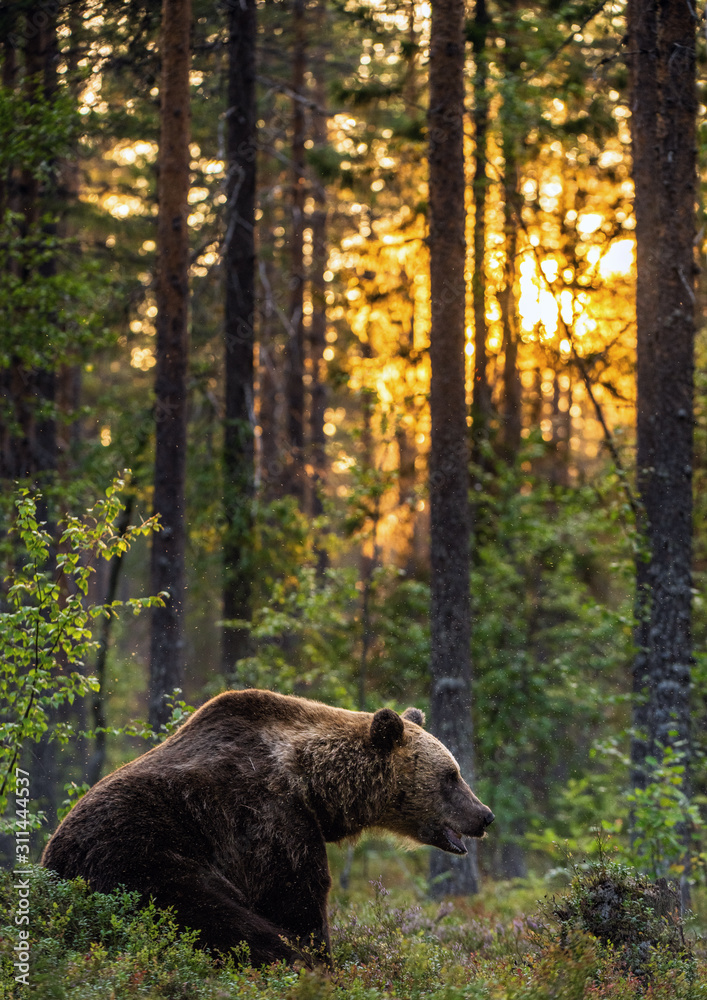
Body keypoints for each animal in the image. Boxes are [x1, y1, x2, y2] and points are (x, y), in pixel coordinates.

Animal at [42, 688, 494, 966]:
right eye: (451, 775)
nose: (484, 814)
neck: (314, 783)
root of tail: (49, 867)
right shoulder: (267, 817)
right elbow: (294, 899)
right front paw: (321, 960)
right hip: (139, 856)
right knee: (220, 919)